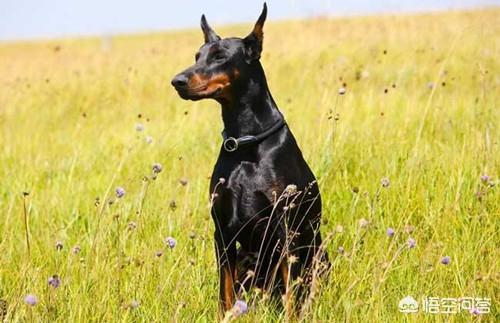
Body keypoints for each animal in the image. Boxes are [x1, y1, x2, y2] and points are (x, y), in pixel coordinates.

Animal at [171, 3, 328, 316]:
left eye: (219, 56)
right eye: (197, 56)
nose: (177, 81)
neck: (245, 143)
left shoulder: (285, 230)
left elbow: (291, 295)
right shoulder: (222, 232)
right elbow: (225, 292)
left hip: (317, 253)